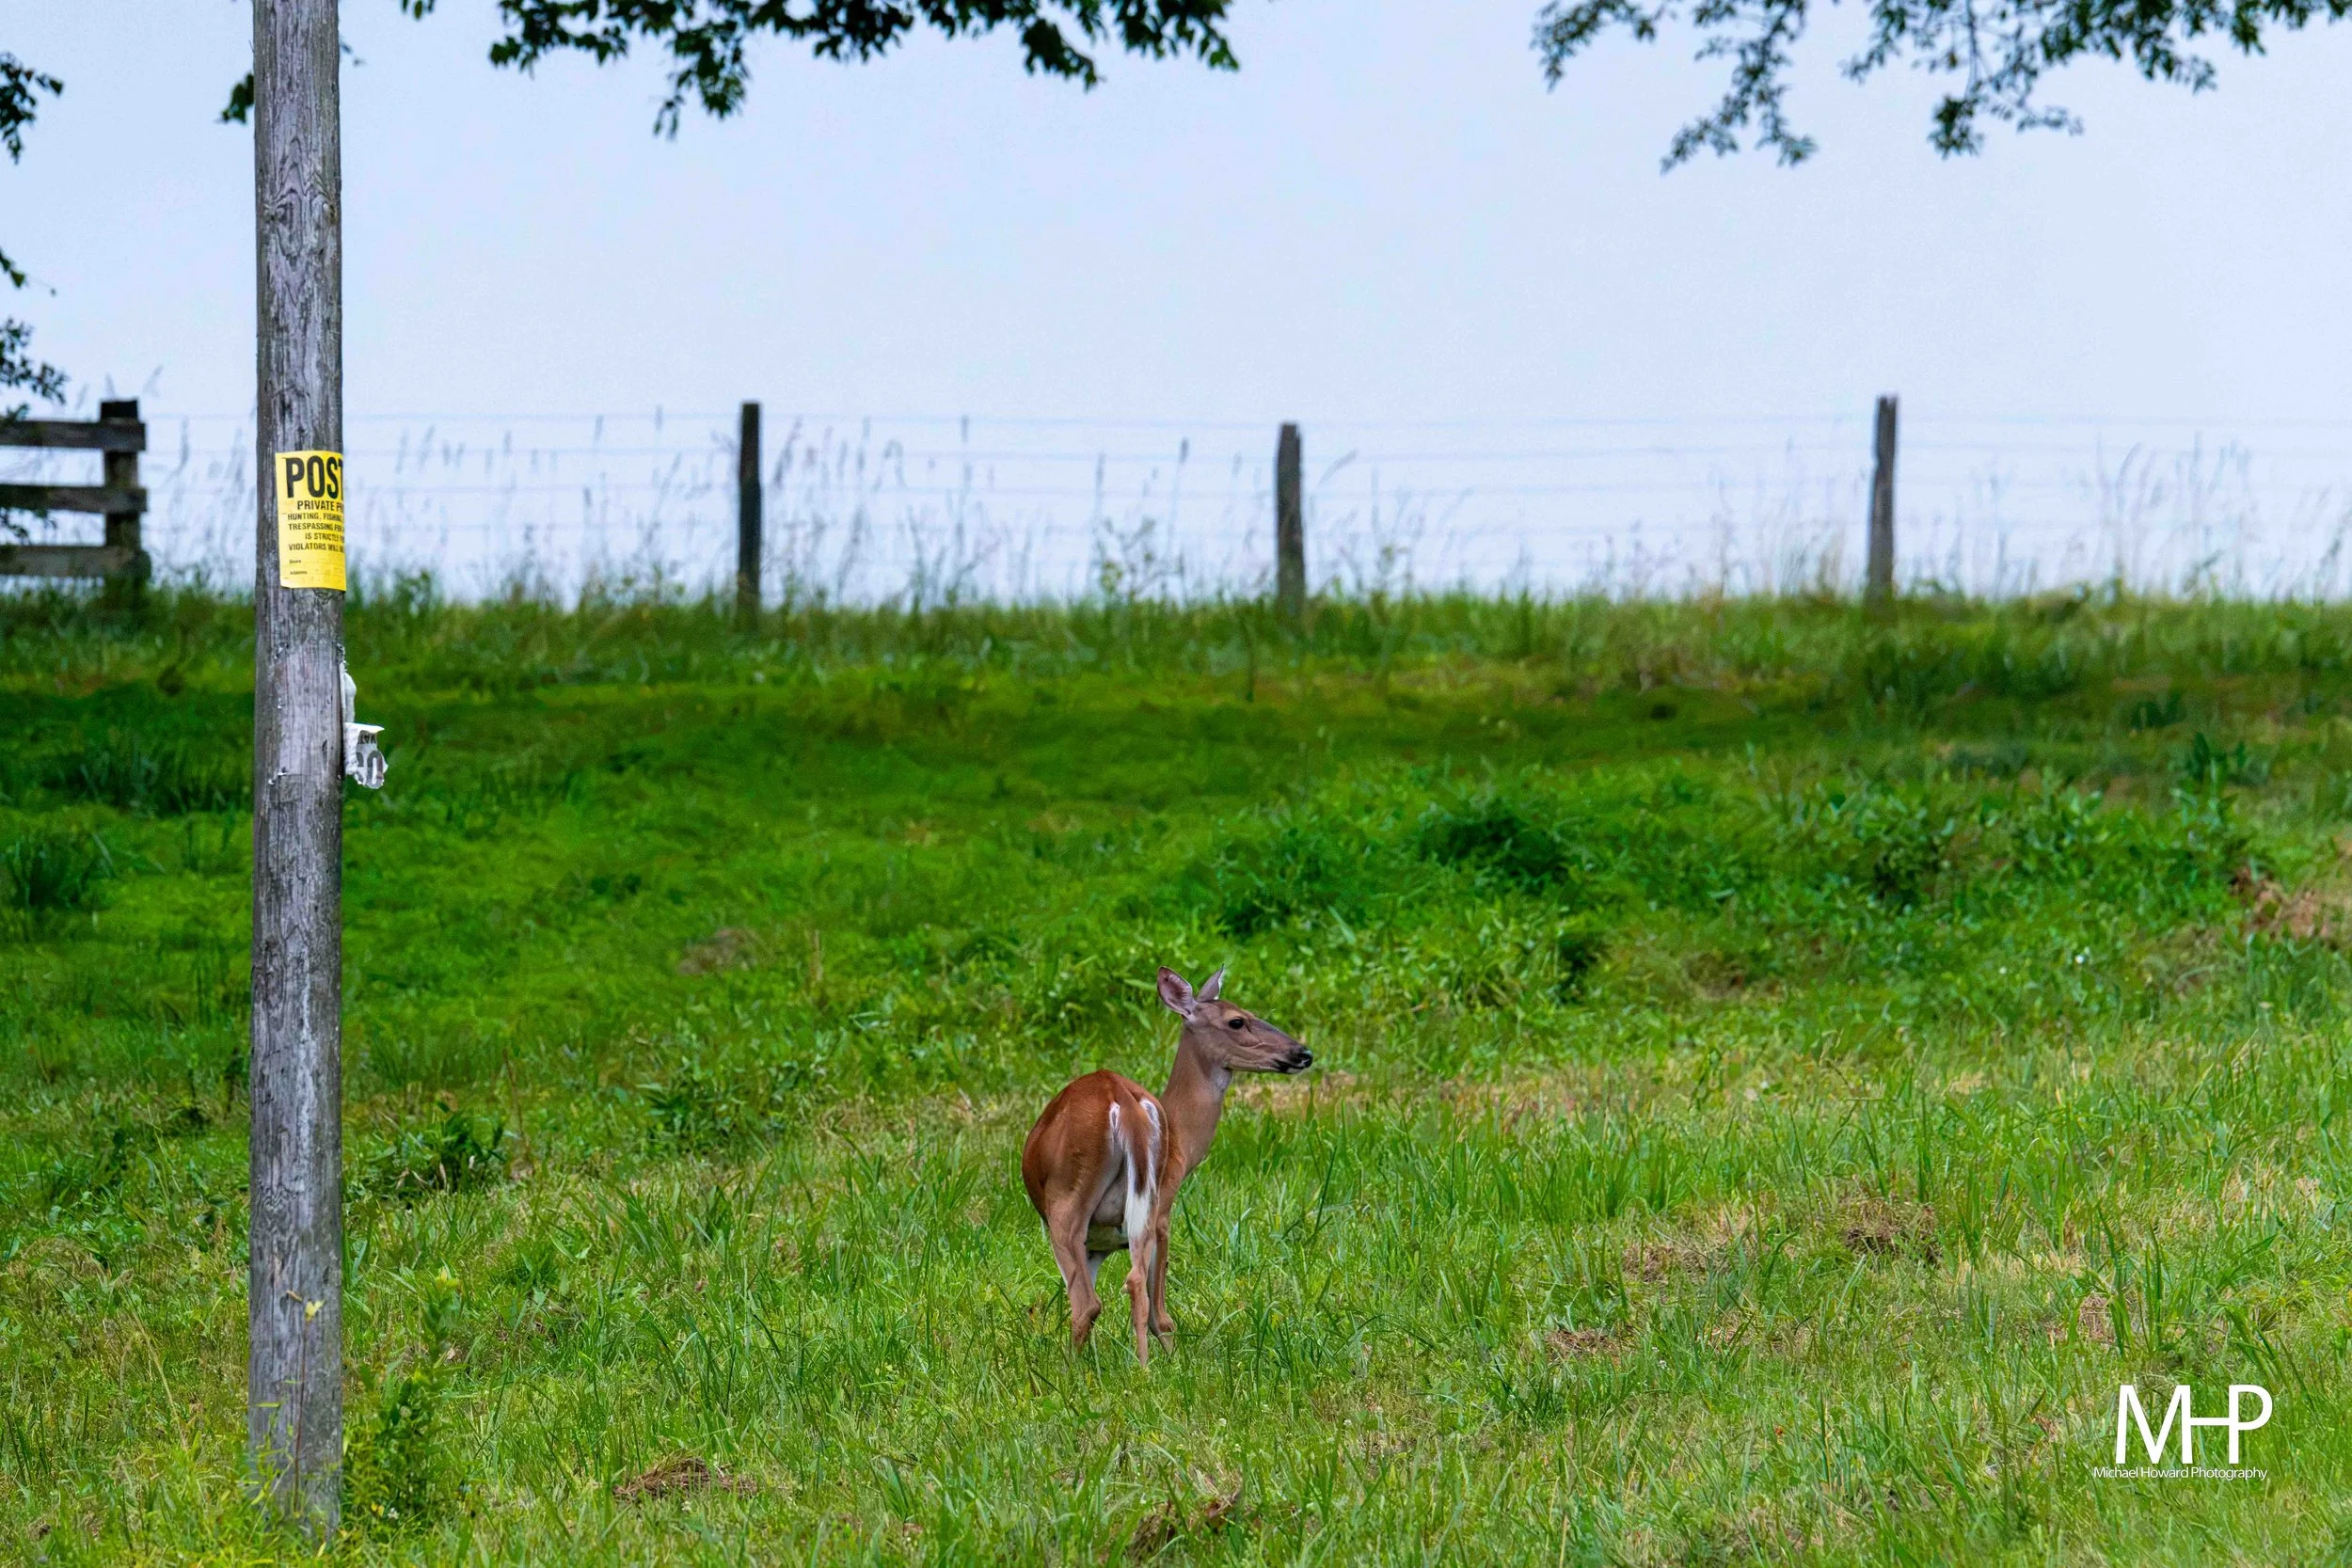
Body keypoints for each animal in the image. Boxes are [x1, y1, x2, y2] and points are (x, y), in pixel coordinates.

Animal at [1020, 966, 1312, 1365]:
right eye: (1237, 1020)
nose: (1303, 1053)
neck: (1181, 1143)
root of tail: (1124, 1101)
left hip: (1070, 1200)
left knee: (1091, 1302)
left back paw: (1111, 1371)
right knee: (1126, 1290)